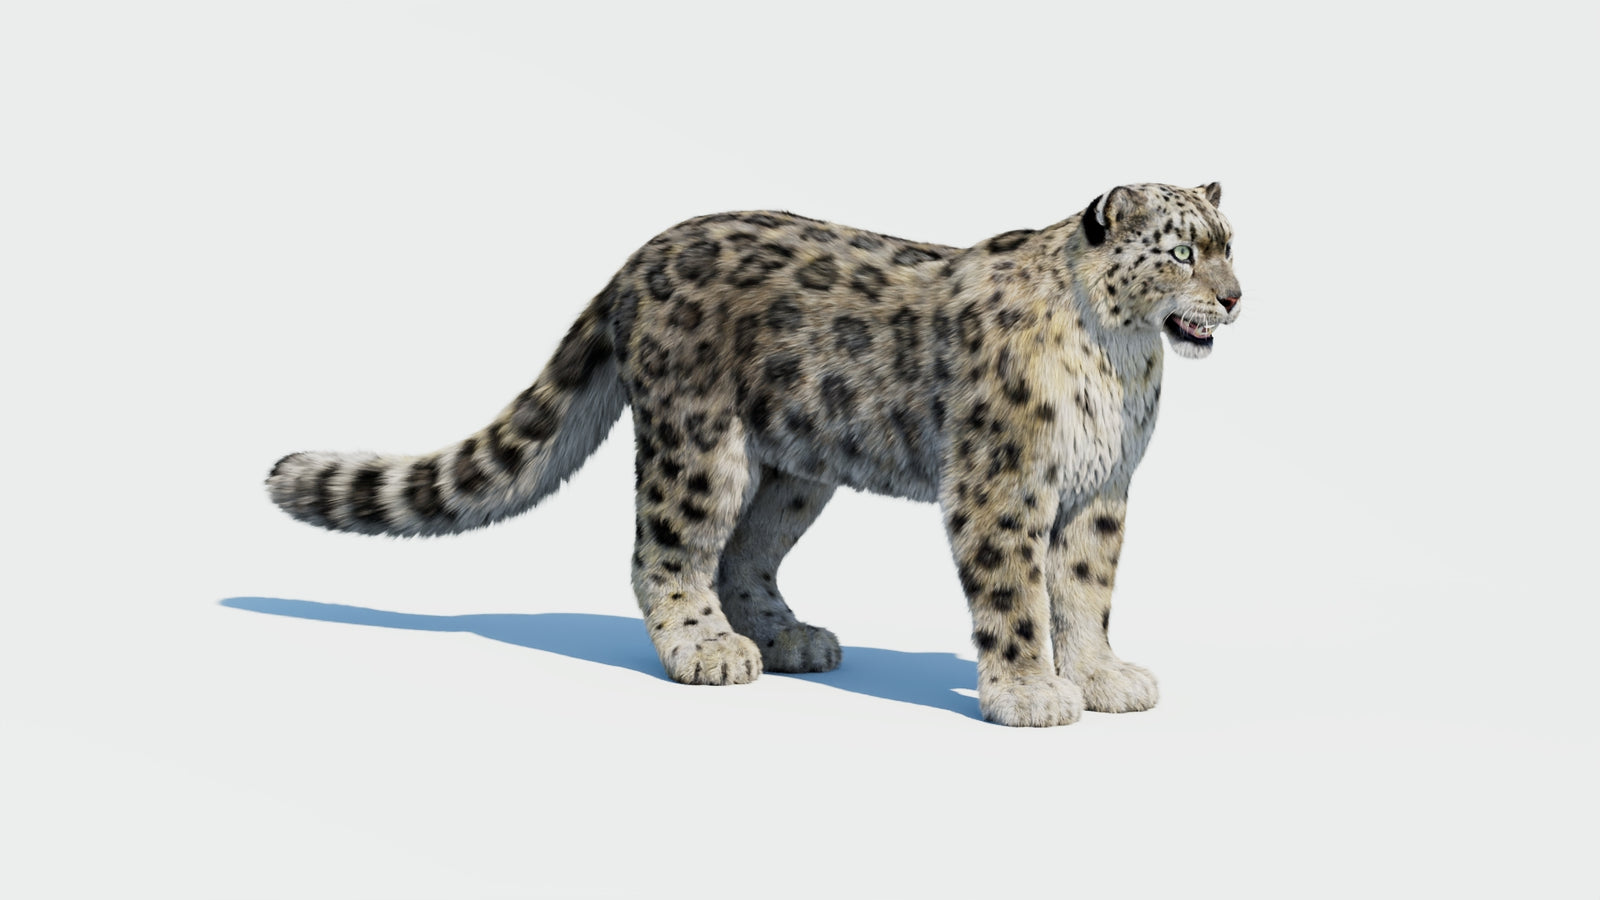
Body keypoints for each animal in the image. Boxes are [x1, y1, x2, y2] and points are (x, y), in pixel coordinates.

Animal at [266, 182, 1242, 727]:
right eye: (1181, 251)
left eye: (1233, 246)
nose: (1235, 298)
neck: (1122, 361)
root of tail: (636, 259)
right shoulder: (1001, 484)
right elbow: (1016, 594)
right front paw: (1029, 694)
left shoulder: (1100, 490)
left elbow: (1085, 592)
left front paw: (1103, 677)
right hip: (702, 445)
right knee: (666, 548)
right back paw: (706, 650)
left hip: (794, 471)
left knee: (745, 553)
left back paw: (784, 637)